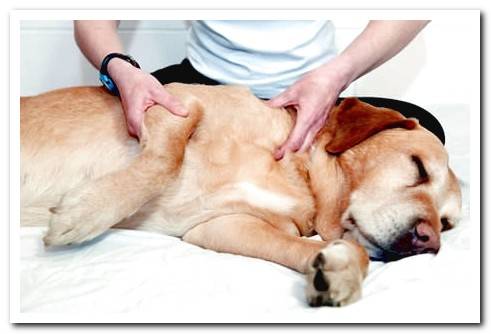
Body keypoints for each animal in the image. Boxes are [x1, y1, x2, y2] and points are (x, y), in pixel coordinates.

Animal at [20, 83, 462, 306]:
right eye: (418, 167)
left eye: (447, 224)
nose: (430, 242)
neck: (296, 175)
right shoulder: (177, 103)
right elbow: (166, 158)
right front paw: (86, 213)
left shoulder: (222, 227)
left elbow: (327, 249)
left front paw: (339, 272)